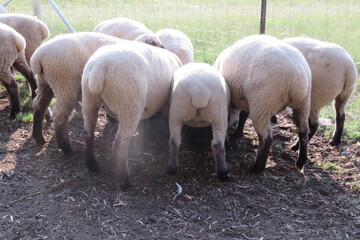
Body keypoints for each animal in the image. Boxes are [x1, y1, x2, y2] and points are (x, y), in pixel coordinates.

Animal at [82, 42, 183, 189]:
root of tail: (99, 68)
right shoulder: (166, 105)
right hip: (130, 105)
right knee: (119, 145)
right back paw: (124, 182)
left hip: (89, 99)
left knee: (87, 134)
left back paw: (92, 166)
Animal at [214, 34, 312, 172]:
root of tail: (297, 78)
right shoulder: (246, 101)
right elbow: (243, 115)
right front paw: (238, 133)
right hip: (303, 104)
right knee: (303, 131)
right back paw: (301, 161)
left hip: (262, 105)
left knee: (266, 138)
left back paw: (257, 168)